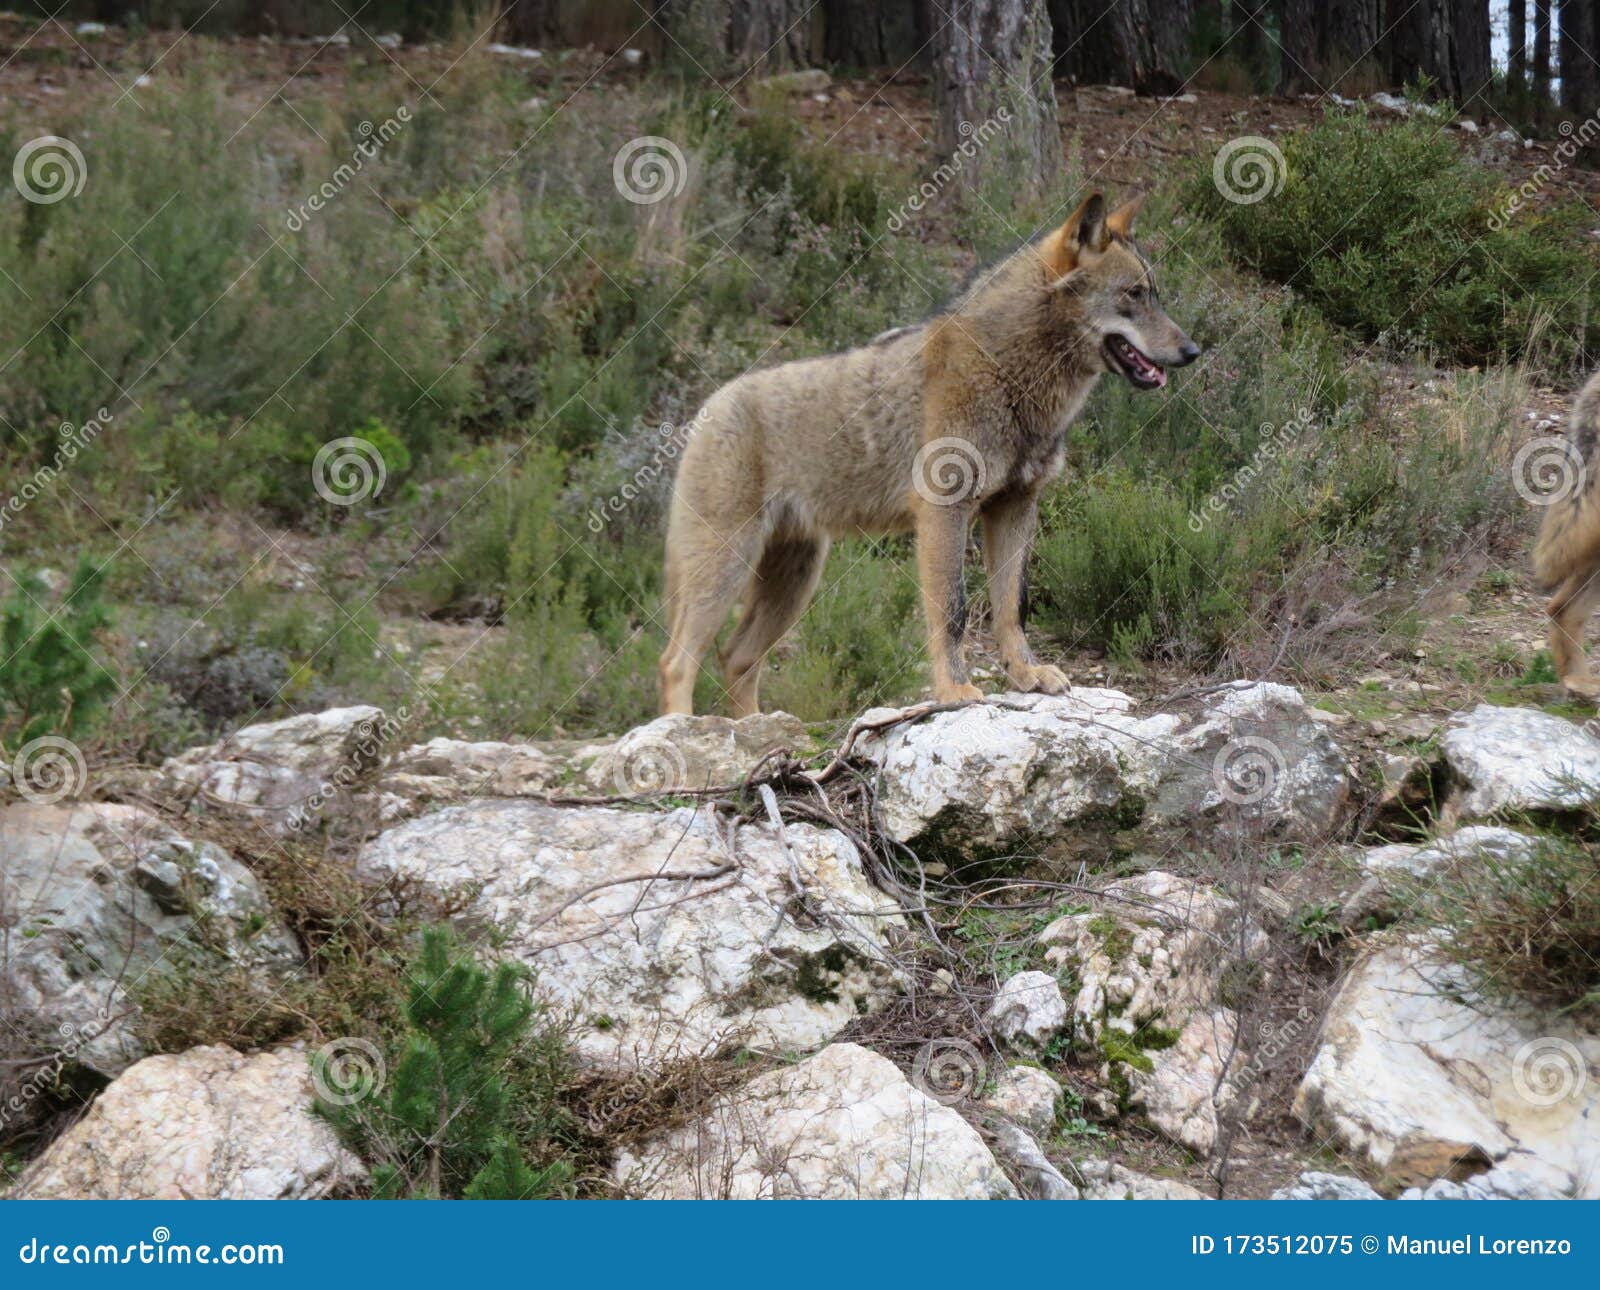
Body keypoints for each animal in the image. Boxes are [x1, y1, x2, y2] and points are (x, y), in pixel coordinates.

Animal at [659, 191, 1199, 716]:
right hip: (729, 569)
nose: (1193, 351)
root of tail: (709, 404)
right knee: (676, 663)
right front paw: (954, 691)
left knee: (735, 657)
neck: (1009, 375)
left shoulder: (1016, 508)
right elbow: (953, 612)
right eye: (1133, 294)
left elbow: (1012, 606)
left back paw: (756, 730)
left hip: (793, 581)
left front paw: (1026, 675)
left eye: (1154, 293)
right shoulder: (944, 512)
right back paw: (682, 732)